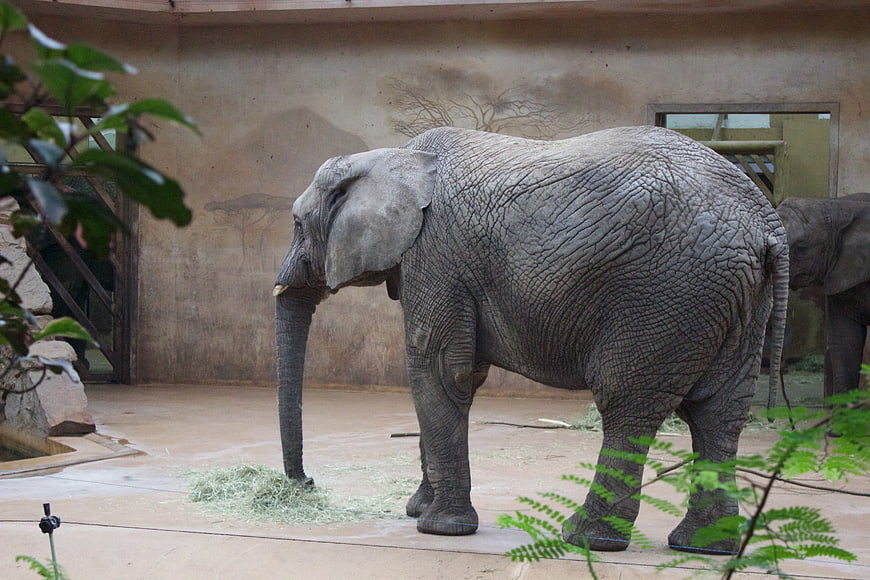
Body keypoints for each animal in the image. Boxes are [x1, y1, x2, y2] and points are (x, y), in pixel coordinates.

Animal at [274, 125, 789, 554]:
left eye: (297, 224)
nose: (306, 483)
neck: (394, 156)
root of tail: (766, 222)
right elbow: (459, 374)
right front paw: (419, 510)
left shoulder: (436, 257)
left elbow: (439, 371)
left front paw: (438, 528)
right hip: (735, 299)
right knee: (718, 413)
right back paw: (704, 548)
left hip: (667, 295)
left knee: (628, 405)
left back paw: (586, 538)